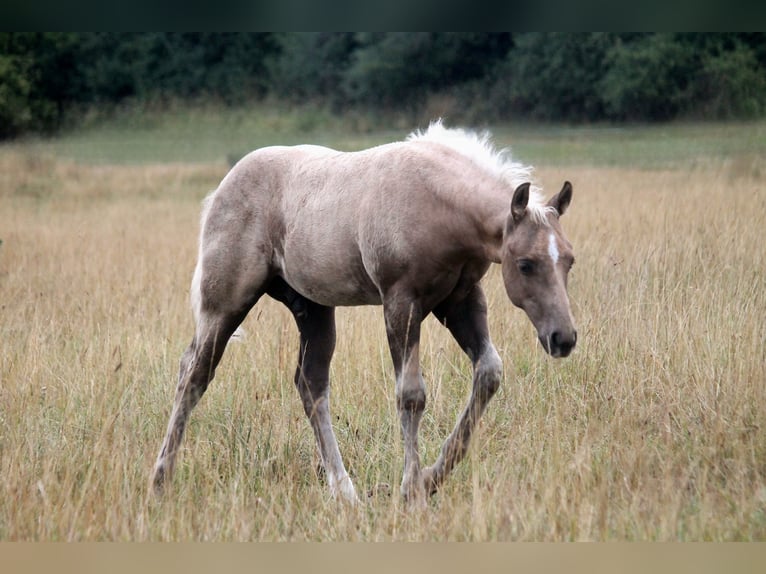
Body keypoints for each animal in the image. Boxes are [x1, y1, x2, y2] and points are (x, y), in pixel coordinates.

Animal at [151, 120, 577, 505]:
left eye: (569, 260)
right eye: (525, 264)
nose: (564, 338)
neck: (435, 202)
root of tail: (222, 188)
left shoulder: (460, 300)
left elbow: (489, 372)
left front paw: (431, 478)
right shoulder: (401, 302)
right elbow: (411, 395)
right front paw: (412, 492)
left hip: (313, 308)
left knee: (311, 384)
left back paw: (345, 493)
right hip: (225, 303)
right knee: (194, 374)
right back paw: (160, 480)